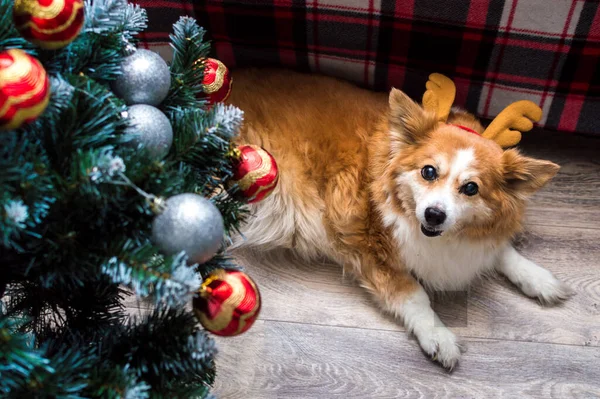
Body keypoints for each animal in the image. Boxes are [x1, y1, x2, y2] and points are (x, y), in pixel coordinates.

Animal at [227, 69, 576, 372]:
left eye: (471, 188)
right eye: (429, 171)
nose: (434, 214)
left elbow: (502, 251)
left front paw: (539, 278)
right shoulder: (362, 244)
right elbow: (413, 293)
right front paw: (437, 335)